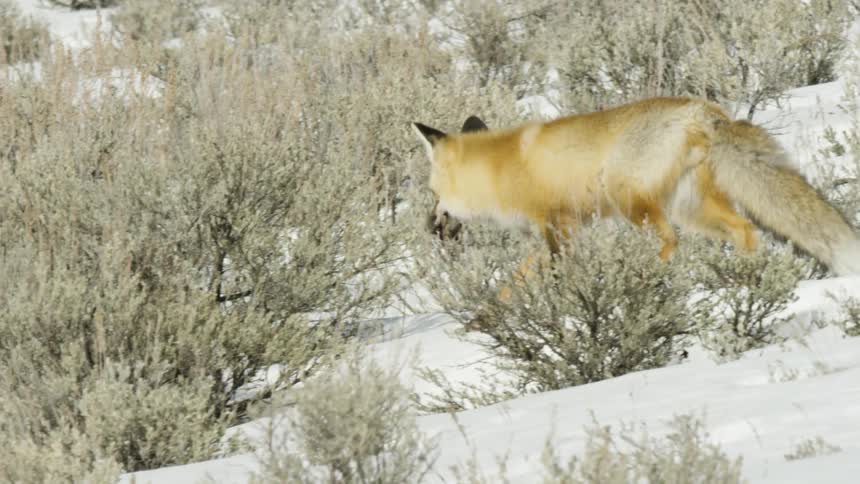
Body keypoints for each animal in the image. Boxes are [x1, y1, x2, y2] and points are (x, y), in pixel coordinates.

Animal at [413, 97, 860, 276]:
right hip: (692, 209)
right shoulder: (556, 231)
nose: (428, 226)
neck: (498, 170)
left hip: (631, 201)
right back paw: (748, 274)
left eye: (433, 194)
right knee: (746, 231)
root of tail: (702, 109)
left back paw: (648, 275)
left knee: (670, 241)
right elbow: (514, 283)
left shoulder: (557, 225)